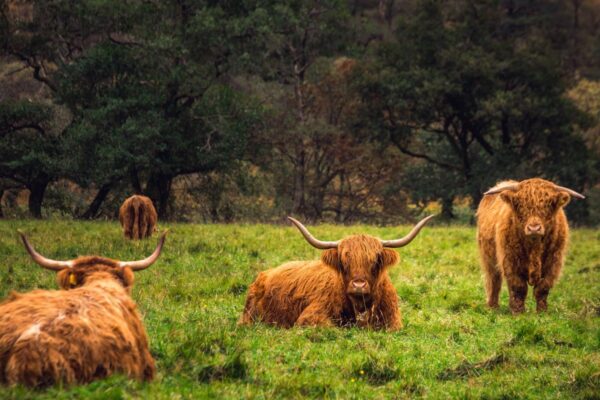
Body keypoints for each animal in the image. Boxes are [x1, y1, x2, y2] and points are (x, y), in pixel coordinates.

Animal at [237, 216, 434, 332]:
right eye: (344, 262)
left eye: (375, 260)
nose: (359, 285)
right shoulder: (310, 317)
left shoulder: (394, 323)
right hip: (249, 317)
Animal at [476, 178, 584, 312]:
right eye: (521, 205)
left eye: (548, 204)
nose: (534, 228)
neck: (534, 248)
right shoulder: (510, 260)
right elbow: (518, 287)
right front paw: (518, 312)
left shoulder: (554, 262)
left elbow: (543, 288)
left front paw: (542, 311)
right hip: (489, 258)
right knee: (494, 280)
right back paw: (493, 307)